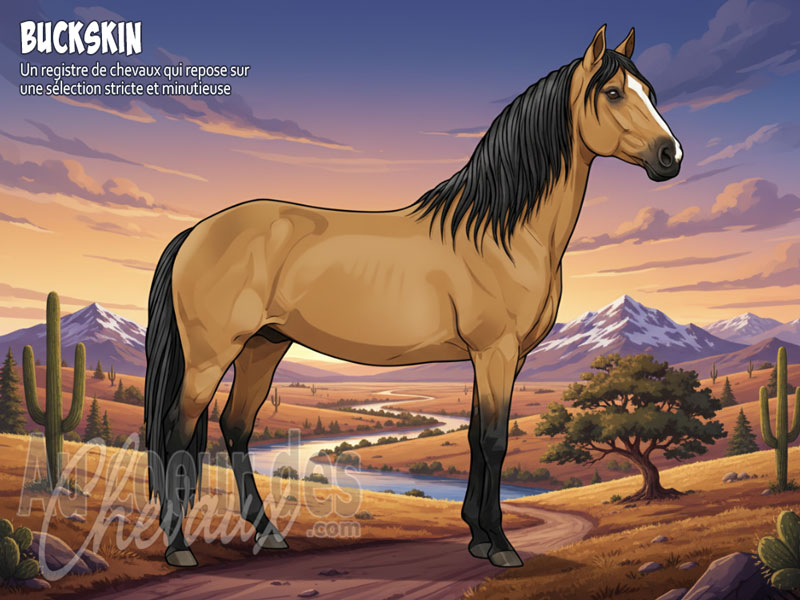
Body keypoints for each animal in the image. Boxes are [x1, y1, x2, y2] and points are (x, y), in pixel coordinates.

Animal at [144, 24, 682, 569]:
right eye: (612, 93)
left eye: (651, 93)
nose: (670, 155)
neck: (503, 231)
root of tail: (194, 232)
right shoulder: (496, 351)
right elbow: (494, 440)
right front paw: (501, 545)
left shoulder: (498, 358)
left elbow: (473, 436)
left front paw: (478, 537)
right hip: (212, 354)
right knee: (177, 431)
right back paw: (179, 546)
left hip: (264, 345)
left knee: (236, 426)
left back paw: (268, 532)